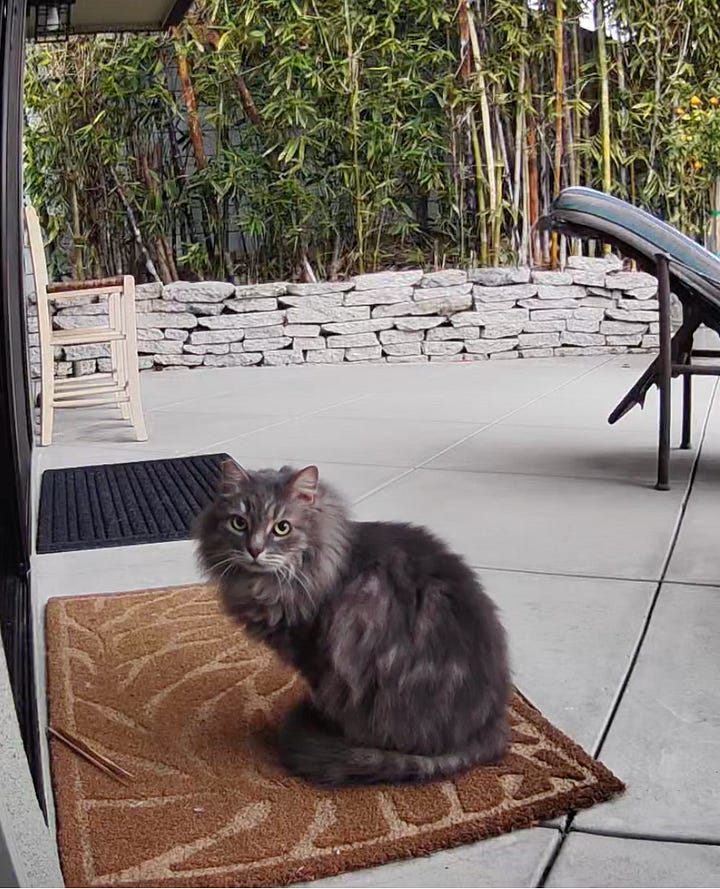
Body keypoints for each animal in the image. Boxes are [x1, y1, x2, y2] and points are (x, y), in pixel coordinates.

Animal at [195, 461, 511, 787]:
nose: (255, 550)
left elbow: (319, 691)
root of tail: (485, 730)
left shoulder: (315, 655)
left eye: (282, 528)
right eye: (239, 523)